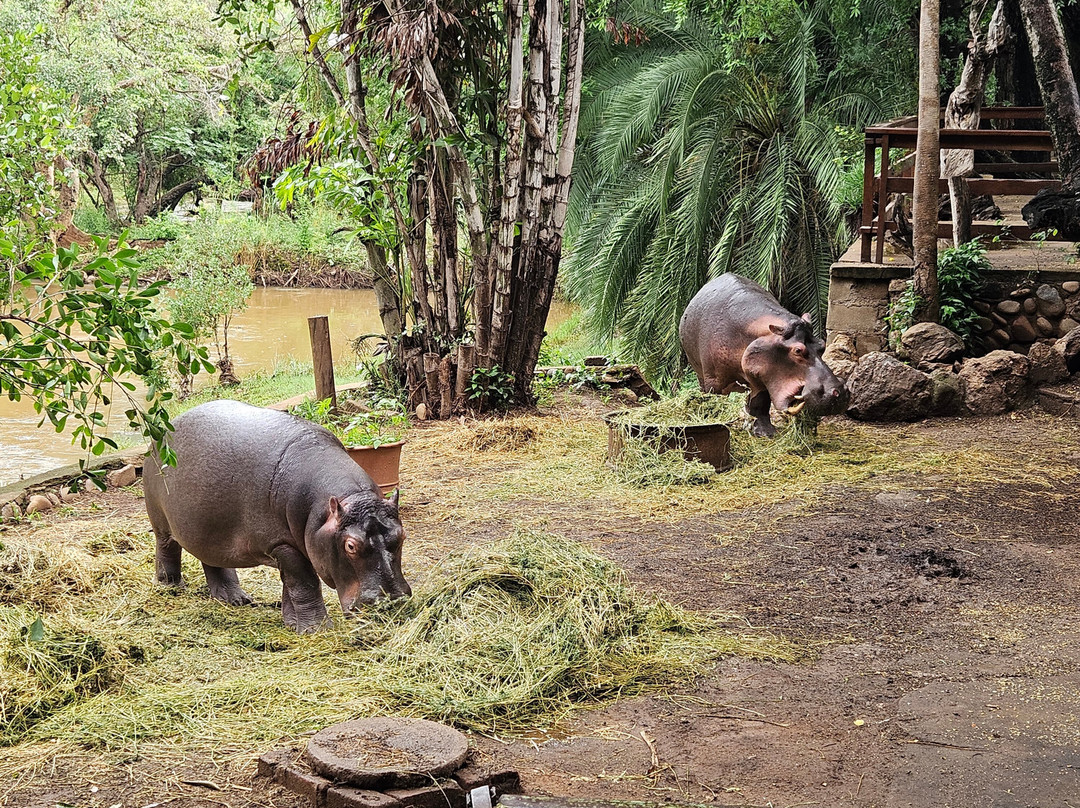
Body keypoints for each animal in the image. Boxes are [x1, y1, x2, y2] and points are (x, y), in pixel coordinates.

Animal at [143, 400, 411, 633]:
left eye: (402, 536)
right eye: (351, 546)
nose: (393, 602)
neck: (348, 500)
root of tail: (166, 427)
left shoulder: (292, 544)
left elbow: (291, 587)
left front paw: (293, 625)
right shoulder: (282, 544)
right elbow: (304, 584)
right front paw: (317, 630)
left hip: (208, 529)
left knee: (212, 561)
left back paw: (235, 600)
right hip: (161, 520)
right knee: (166, 548)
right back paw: (170, 586)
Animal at [679, 273, 849, 437]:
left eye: (822, 345)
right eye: (798, 350)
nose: (840, 392)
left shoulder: (763, 377)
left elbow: (759, 402)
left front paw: (766, 433)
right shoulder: (713, 379)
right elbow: (714, 398)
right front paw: (714, 421)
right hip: (700, 372)